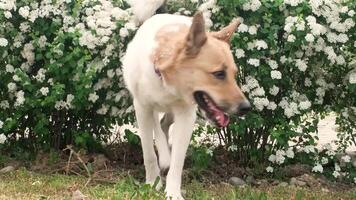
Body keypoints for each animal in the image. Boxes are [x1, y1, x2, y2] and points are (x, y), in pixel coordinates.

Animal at [122, 4, 250, 200]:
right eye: (219, 74)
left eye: (235, 74)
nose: (246, 107)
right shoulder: (142, 108)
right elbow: (148, 153)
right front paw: (153, 183)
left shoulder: (186, 116)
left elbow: (177, 161)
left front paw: (173, 192)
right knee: (157, 126)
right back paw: (163, 155)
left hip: (173, 113)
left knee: (164, 125)